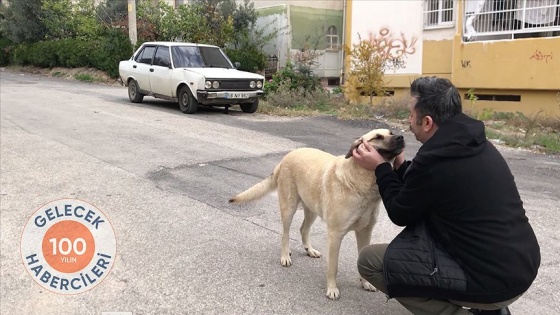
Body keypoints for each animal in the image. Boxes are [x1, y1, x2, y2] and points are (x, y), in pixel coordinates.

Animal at [228, 129, 402, 302]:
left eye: (391, 132)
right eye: (377, 137)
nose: (401, 137)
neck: (361, 180)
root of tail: (287, 157)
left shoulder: (365, 232)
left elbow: (361, 259)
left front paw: (365, 283)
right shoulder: (335, 235)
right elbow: (333, 267)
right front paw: (332, 289)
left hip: (312, 209)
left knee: (303, 229)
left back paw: (309, 250)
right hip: (289, 208)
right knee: (285, 234)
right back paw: (285, 255)